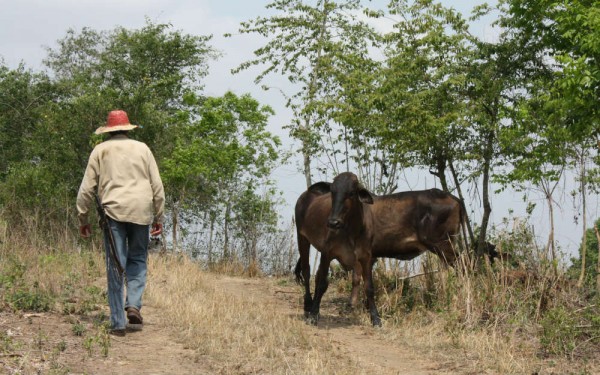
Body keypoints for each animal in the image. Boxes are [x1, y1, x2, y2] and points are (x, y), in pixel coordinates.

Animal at [296, 172, 464, 328]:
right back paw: (308, 305)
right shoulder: (328, 253)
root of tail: (455, 199)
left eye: (351, 193)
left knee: (461, 268)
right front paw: (316, 314)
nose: (333, 222)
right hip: (301, 237)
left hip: (444, 246)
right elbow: (325, 282)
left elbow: (365, 284)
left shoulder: (365, 256)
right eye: (332, 192)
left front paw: (371, 315)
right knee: (307, 270)